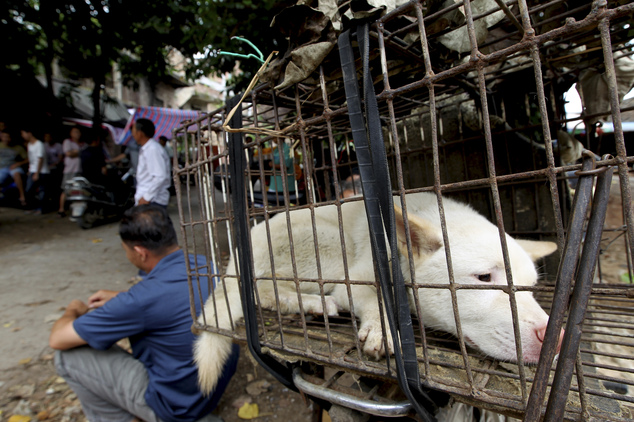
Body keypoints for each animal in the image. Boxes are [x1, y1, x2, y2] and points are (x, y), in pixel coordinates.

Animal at [193, 193, 556, 394]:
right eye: (483, 278)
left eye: (528, 289)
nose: (553, 336)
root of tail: (239, 252)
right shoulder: (355, 279)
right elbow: (376, 300)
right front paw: (383, 328)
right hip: (327, 244)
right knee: (263, 289)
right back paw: (312, 303)